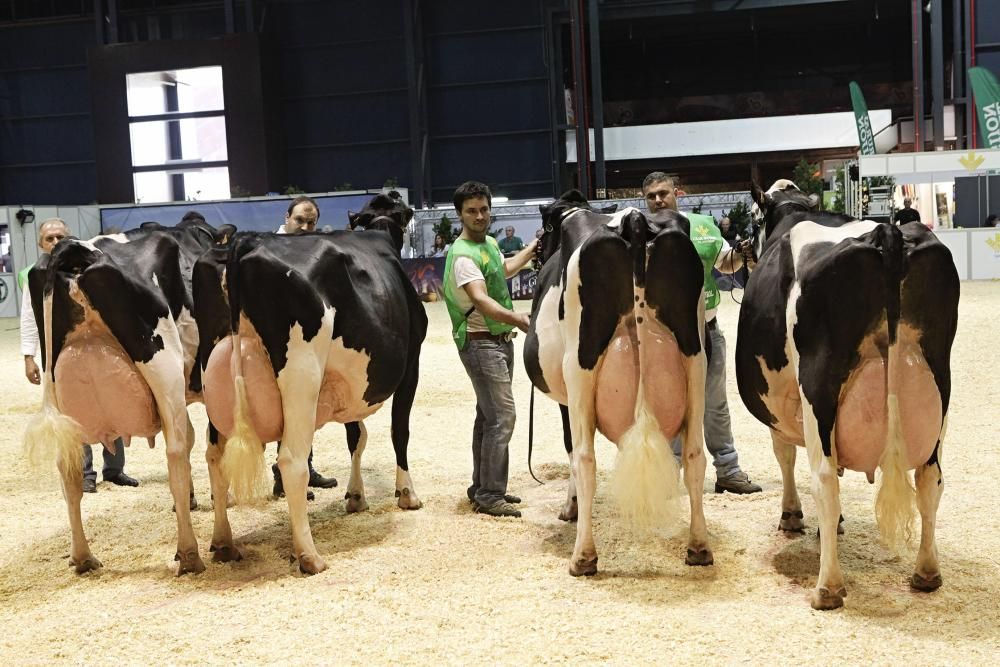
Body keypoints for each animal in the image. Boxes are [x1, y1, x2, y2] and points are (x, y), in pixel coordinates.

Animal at [23, 219, 230, 576]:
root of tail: (73, 249)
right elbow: (211, 448)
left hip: (57, 390)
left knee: (68, 471)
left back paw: (83, 558)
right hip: (164, 369)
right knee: (176, 454)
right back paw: (190, 554)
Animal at [196, 224, 430, 576]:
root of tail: (246, 241)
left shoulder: (348, 384)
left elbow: (356, 436)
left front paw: (356, 495)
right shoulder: (412, 362)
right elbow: (398, 432)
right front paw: (407, 493)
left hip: (212, 372)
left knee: (215, 457)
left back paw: (224, 542)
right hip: (301, 375)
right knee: (292, 461)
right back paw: (310, 555)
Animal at [524, 190, 712, 576]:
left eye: (544, 231)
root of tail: (634, 220)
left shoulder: (566, 398)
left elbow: (570, 447)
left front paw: (570, 508)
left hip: (580, 367)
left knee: (585, 458)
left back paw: (583, 556)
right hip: (695, 358)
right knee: (695, 456)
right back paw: (699, 546)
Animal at [740, 179, 956, 612]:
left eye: (752, 219)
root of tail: (887, 233)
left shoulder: (781, 403)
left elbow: (784, 454)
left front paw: (792, 515)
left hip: (818, 387)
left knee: (824, 477)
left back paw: (828, 588)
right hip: (941, 382)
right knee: (931, 478)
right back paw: (927, 572)